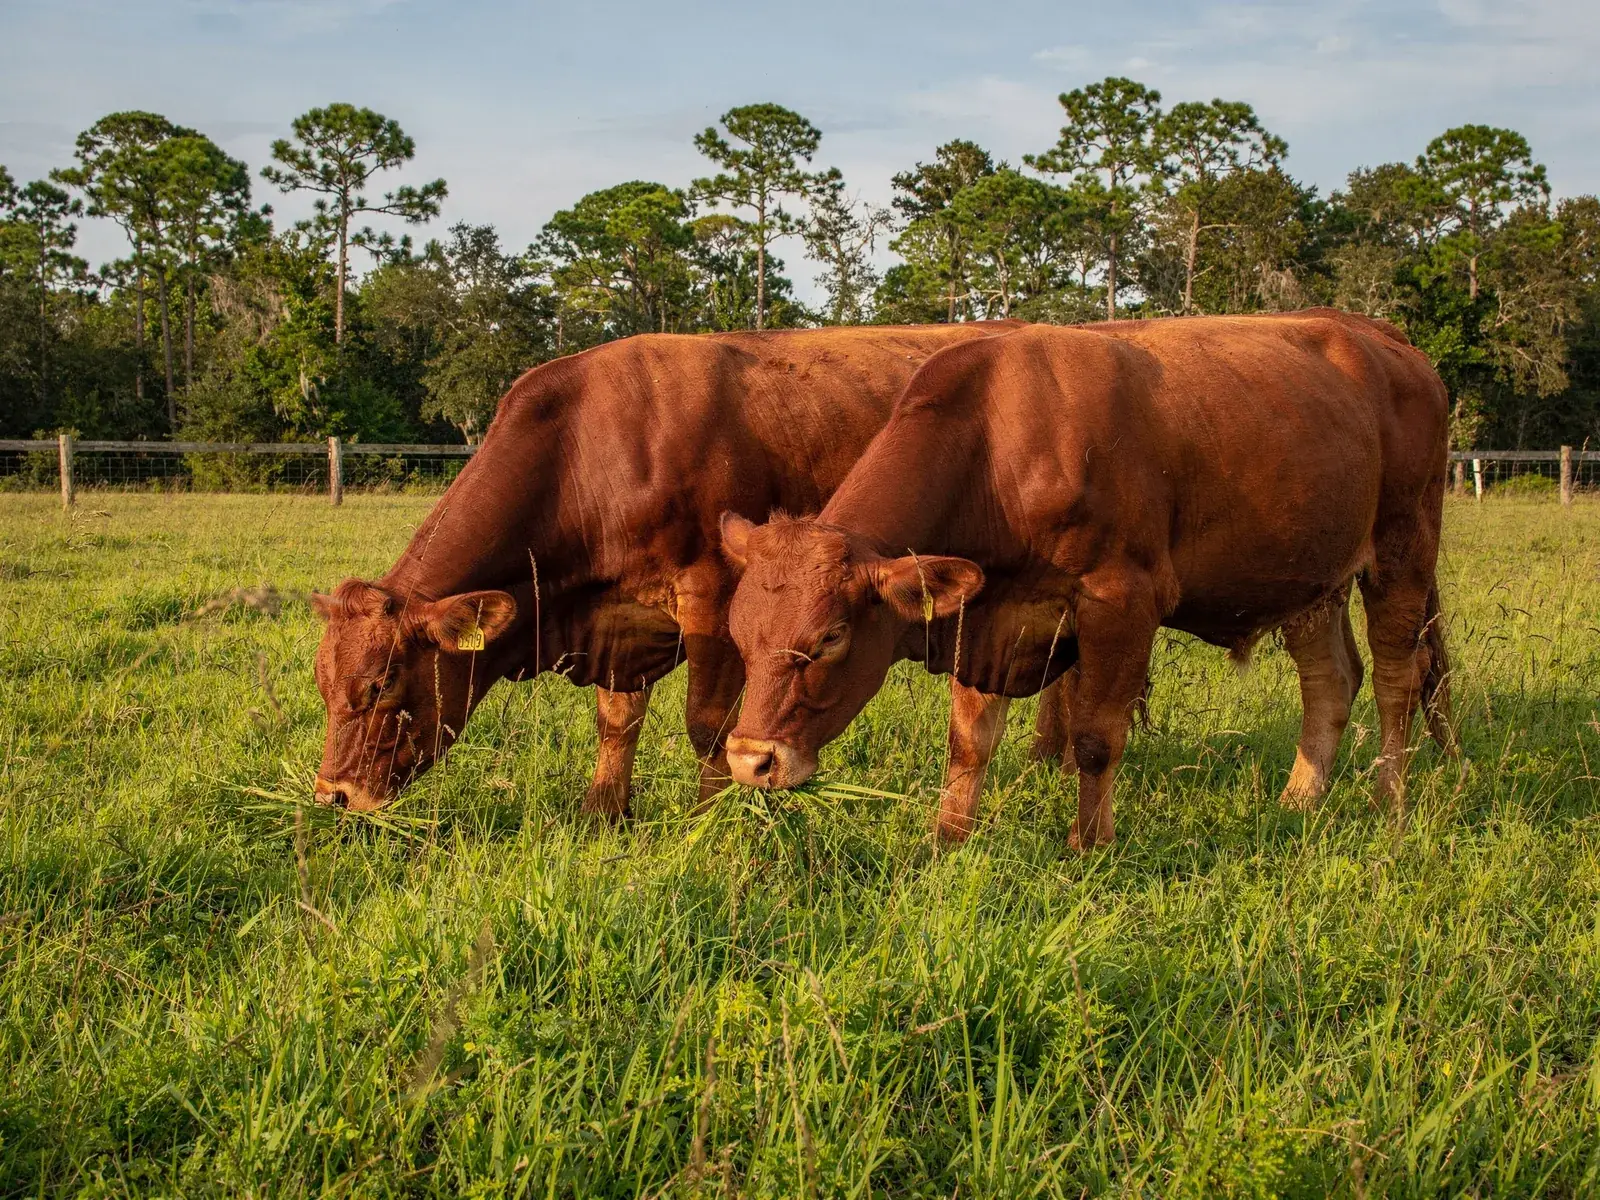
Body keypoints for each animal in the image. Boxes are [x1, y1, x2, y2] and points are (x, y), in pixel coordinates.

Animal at [309, 323, 1021, 814]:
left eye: (380, 684)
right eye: (322, 683)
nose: (334, 795)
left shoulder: (713, 597)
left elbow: (710, 728)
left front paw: (711, 823)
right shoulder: (620, 621)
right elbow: (616, 721)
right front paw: (603, 814)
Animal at [718, 310, 1456, 849]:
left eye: (831, 637)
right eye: (742, 638)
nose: (750, 761)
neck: (999, 446)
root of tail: (1378, 334)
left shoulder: (1122, 601)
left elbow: (1098, 738)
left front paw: (1089, 843)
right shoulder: (984, 617)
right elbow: (968, 742)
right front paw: (948, 839)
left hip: (1403, 553)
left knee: (1396, 680)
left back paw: (1388, 800)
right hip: (1312, 582)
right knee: (1331, 681)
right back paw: (1300, 798)